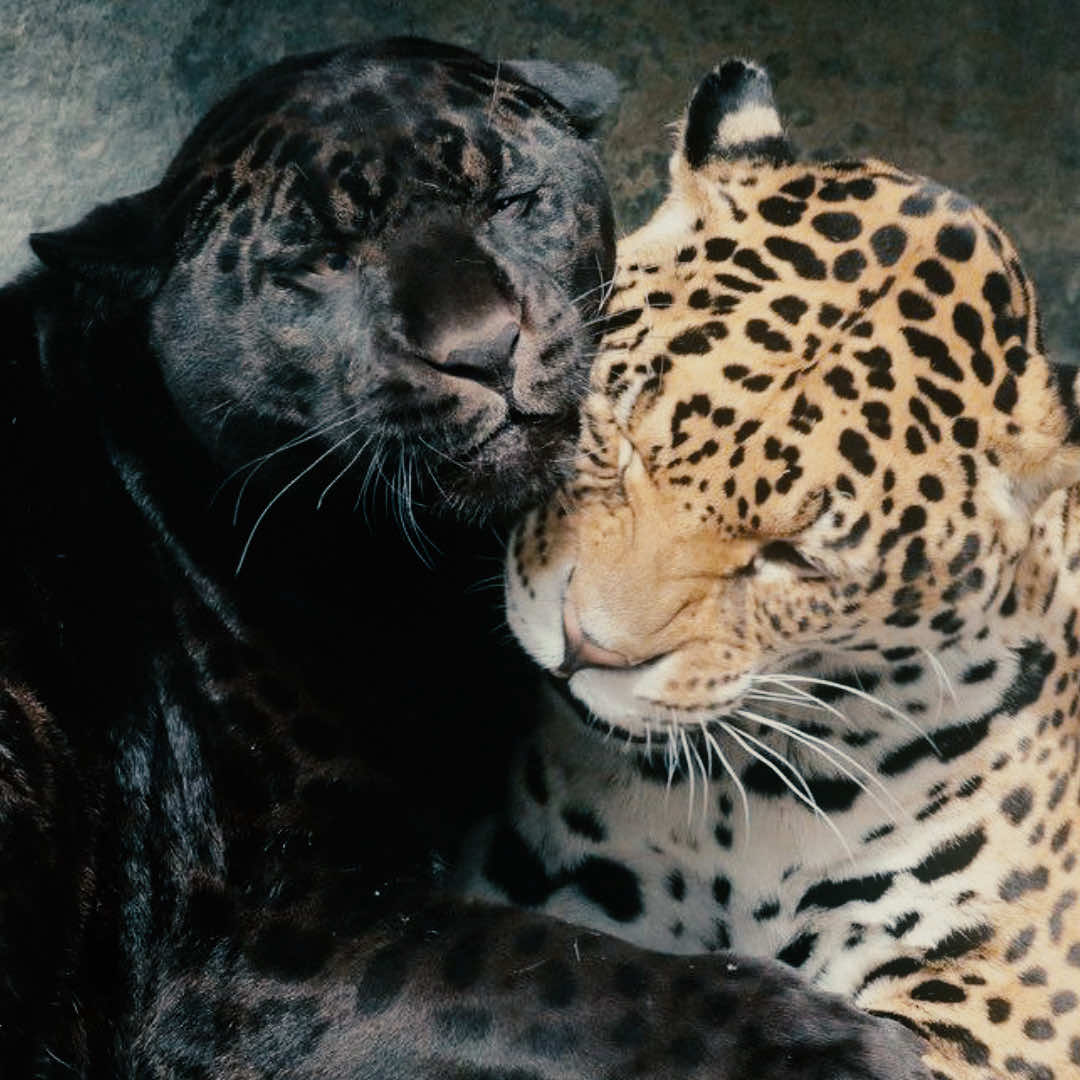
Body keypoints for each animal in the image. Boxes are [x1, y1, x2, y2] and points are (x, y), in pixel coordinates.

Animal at [0, 38, 922, 1079]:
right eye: (322, 261)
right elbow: (557, 973)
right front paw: (845, 1043)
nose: (484, 349)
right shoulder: (255, 935)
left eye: (511, 200)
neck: (428, 579)